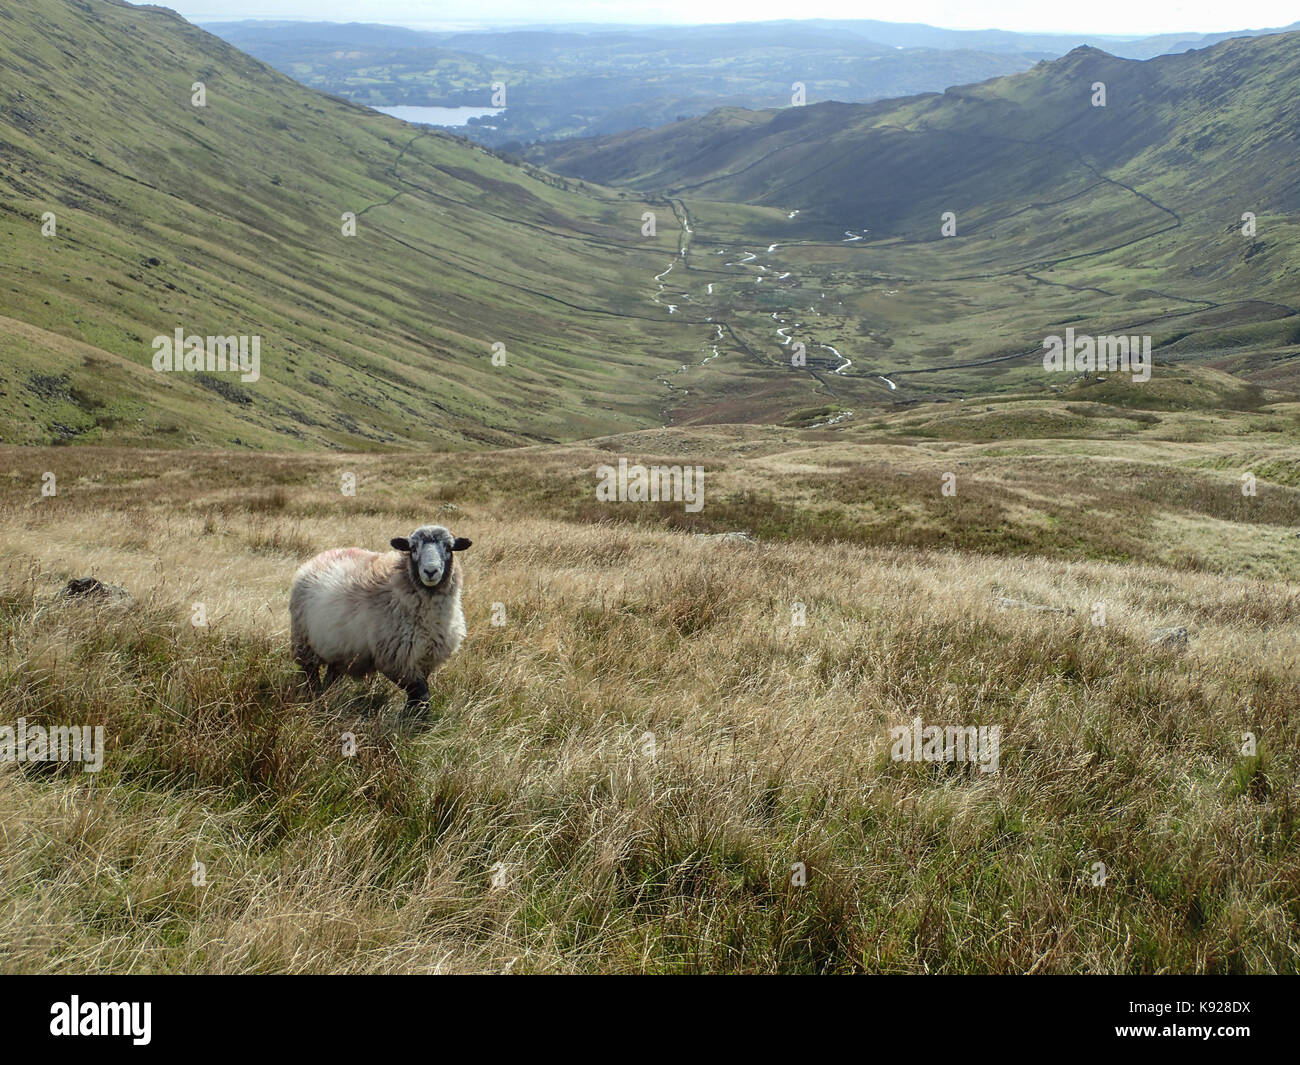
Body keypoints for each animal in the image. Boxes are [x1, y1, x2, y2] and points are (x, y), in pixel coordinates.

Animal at [289, 520, 473, 712]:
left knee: (333, 674)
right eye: (413, 548)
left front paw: (411, 715)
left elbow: (418, 695)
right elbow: (420, 693)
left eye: (449, 548)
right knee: (310, 673)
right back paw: (314, 697)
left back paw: (328, 696)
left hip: (339, 647)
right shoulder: (396, 660)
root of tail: (322, 555)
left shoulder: (425, 659)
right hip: (304, 641)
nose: (430, 571)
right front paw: (413, 717)